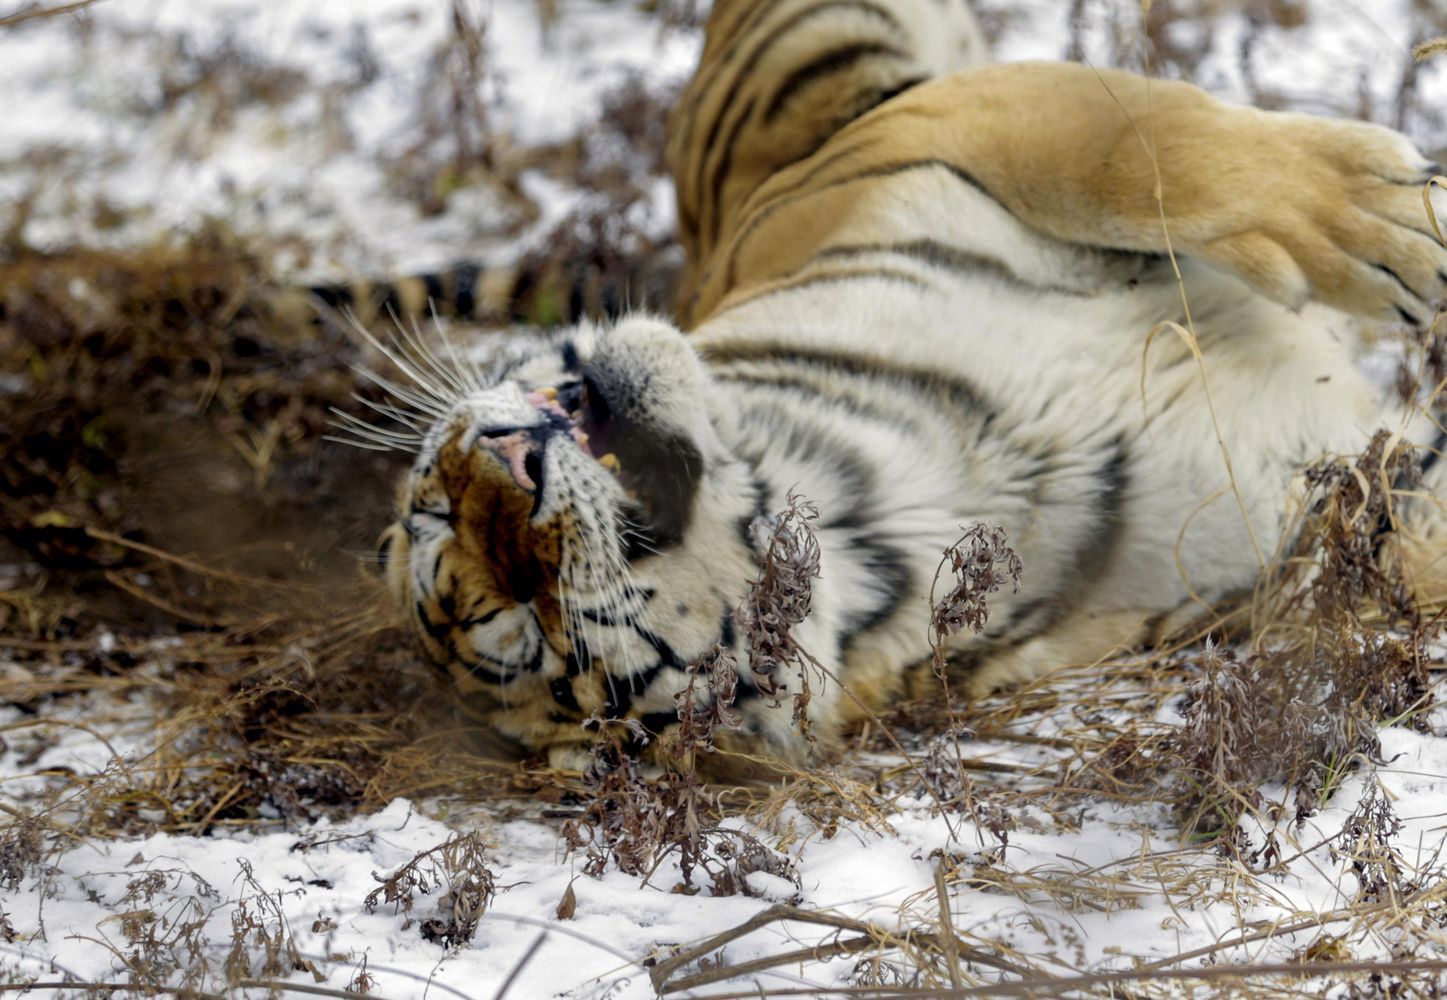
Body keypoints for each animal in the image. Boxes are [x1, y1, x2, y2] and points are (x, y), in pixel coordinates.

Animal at [373, 0, 1447, 769]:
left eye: (433, 507)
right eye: (522, 631)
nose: (505, 453)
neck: (887, 501)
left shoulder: (944, 135)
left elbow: (1142, 149)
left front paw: (1398, 222)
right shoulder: (1315, 526)